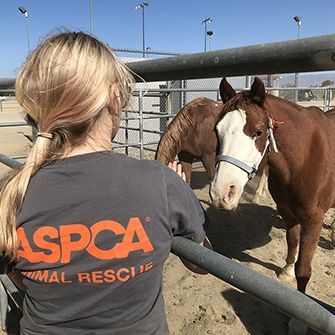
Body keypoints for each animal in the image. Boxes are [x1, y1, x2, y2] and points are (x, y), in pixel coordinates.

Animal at [210, 77, 335, 292]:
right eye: (217, 131)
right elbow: (292, 241)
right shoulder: (287, 211)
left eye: (258, 132)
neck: (304, 158)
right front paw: (287, 271)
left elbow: (304, 270)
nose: (221, 193)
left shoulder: (314, 220)